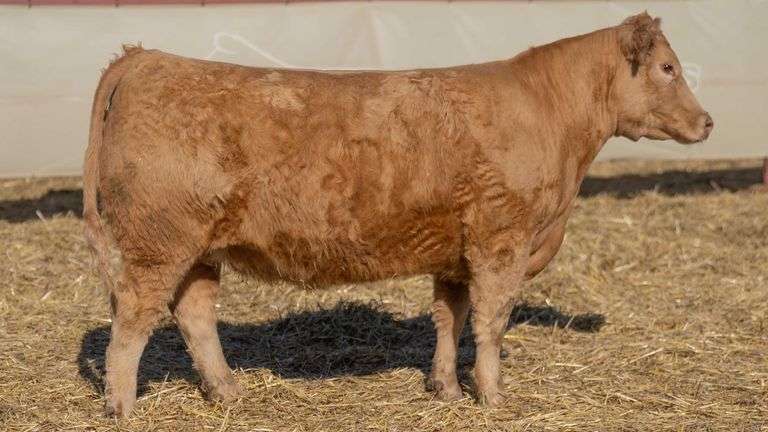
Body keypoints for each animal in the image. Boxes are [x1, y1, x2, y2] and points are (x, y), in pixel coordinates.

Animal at [83, 12, 713, 417]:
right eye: (667, 68)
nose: (708, 122)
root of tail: (142, 58)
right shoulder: (500, 240)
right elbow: (491, 322)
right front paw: (493, 397)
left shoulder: (455, 252)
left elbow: (450, 318)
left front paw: (447, 390)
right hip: (156, 244)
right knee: (132, 322)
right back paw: (123, 407)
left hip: (198, 247)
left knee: (194, 314)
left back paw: (228, 393)